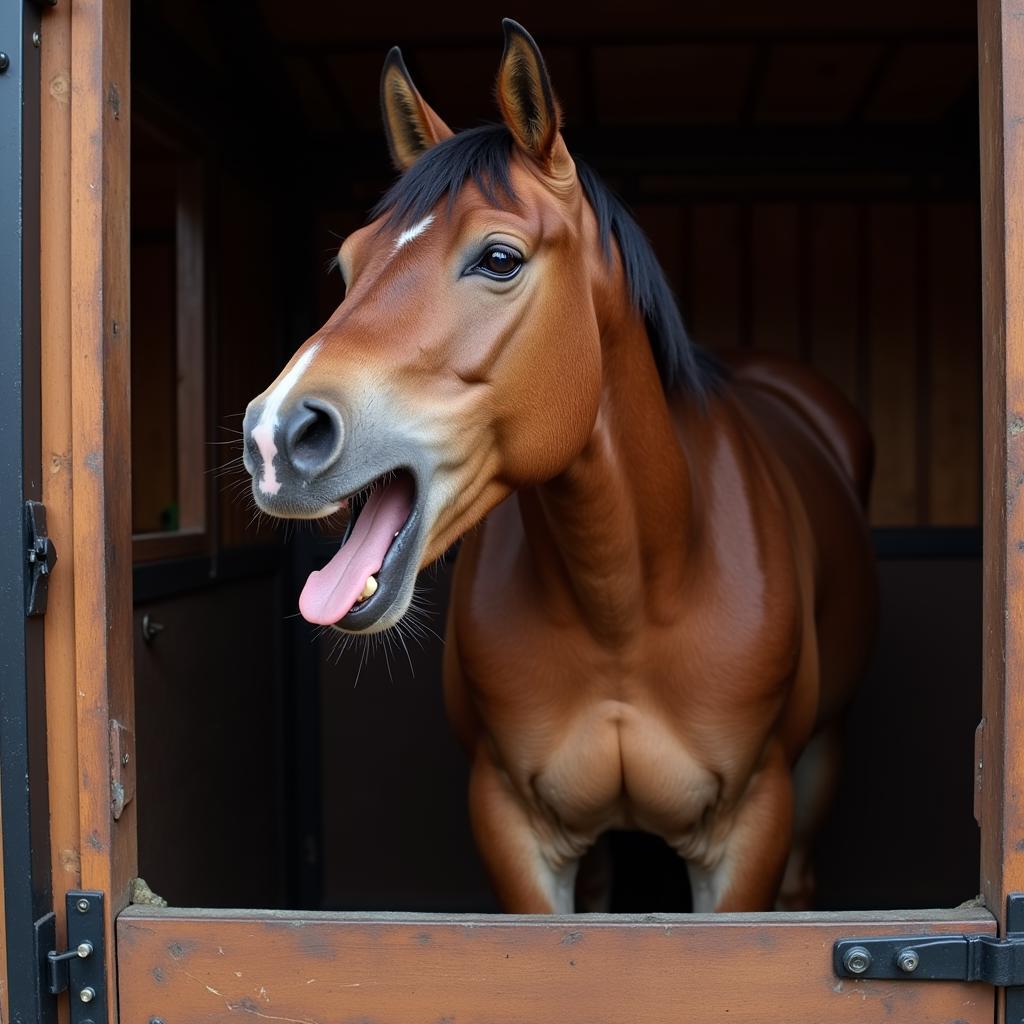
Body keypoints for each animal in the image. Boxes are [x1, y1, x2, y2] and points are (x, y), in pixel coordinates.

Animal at [239, 19, 872, 913]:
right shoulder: (516, 827)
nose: (276, 436)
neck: (628, 604)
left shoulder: (750, 830)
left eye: (499, 259)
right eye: (349, 266)